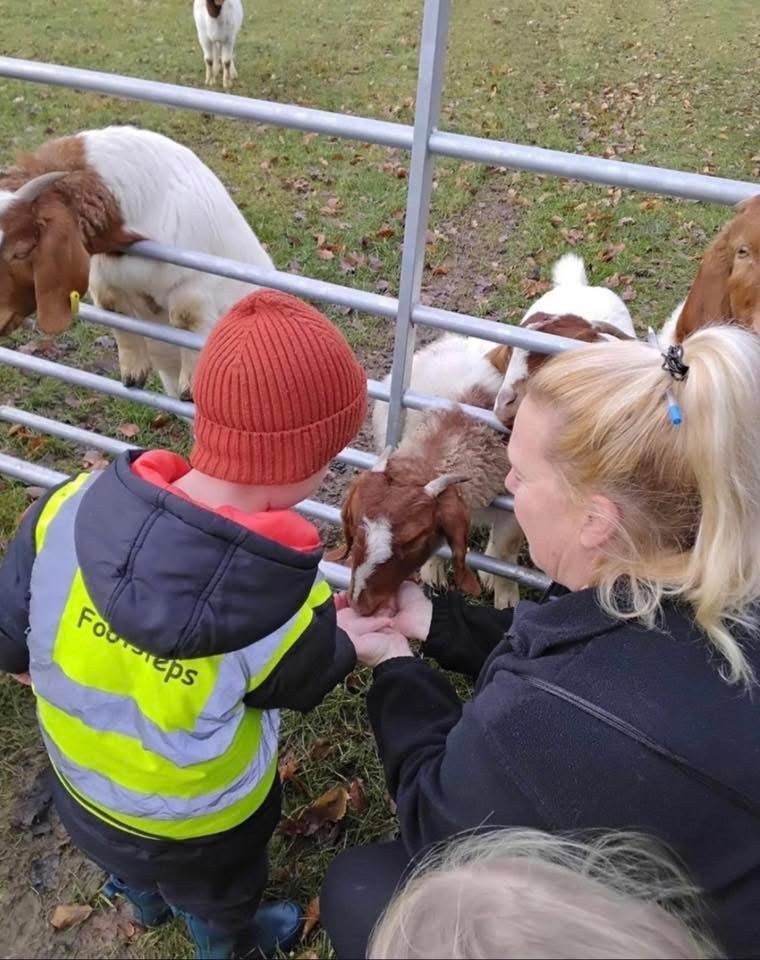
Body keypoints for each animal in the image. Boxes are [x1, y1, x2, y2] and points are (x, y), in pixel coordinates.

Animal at [0, 125, 275, 399]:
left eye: (21, 251)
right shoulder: (102, 277)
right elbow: (116, 313)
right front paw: (133, 374)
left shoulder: (194, 283)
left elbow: (186, 319)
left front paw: (190, 387)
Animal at [341, 333, 522, 615]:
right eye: (355, 525)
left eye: (414, 540)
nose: (359, 603)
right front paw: (432, 573)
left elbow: (506, 551)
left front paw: (506, 600)